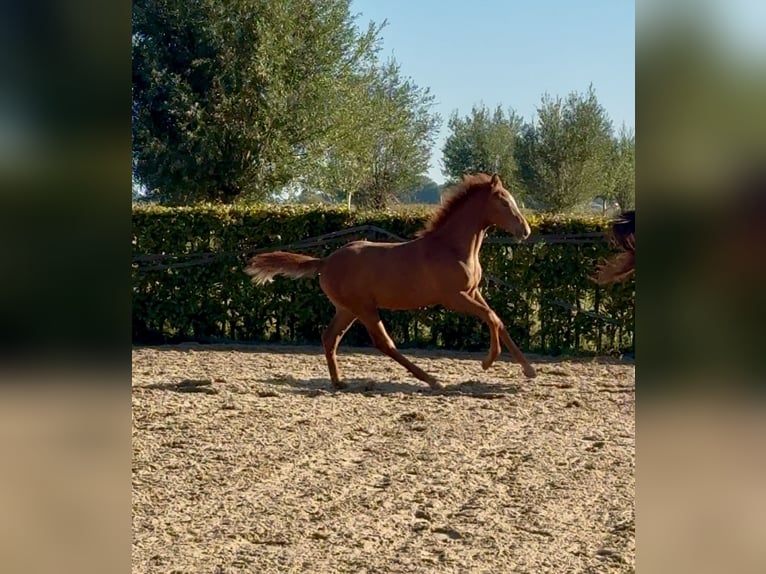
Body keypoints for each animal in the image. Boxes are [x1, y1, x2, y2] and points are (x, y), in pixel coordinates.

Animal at [244, 173, 536, 392]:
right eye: (503, 202)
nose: (525, 231)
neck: (451, 248)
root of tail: (325, 262)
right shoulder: (455, 298)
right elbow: (492, 318)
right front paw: (488, 361)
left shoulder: (473, 292)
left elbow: (498, 320)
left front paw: (529, 369)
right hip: (364, 308)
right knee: (384, 343)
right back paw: (431, 380)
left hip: (347, 309)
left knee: (330, 338)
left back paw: (339, 382)